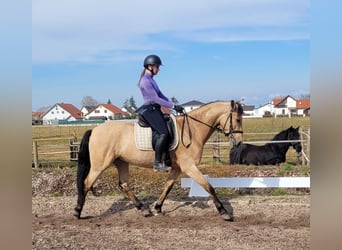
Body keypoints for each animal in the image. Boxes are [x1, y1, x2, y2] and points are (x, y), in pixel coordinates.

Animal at [73, 99, 243, 221]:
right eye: (237, 119)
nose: (239, 143)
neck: (193, 130)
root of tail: (94, 130)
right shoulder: (189, 167)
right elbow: (208, 186)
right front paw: (224, 212)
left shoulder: (177, 168)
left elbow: (167, 186)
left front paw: (158, 208)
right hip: (99, 165)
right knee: (86, 183)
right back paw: (77, 212)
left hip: (121, 162)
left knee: (124, 184)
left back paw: (144, 209)